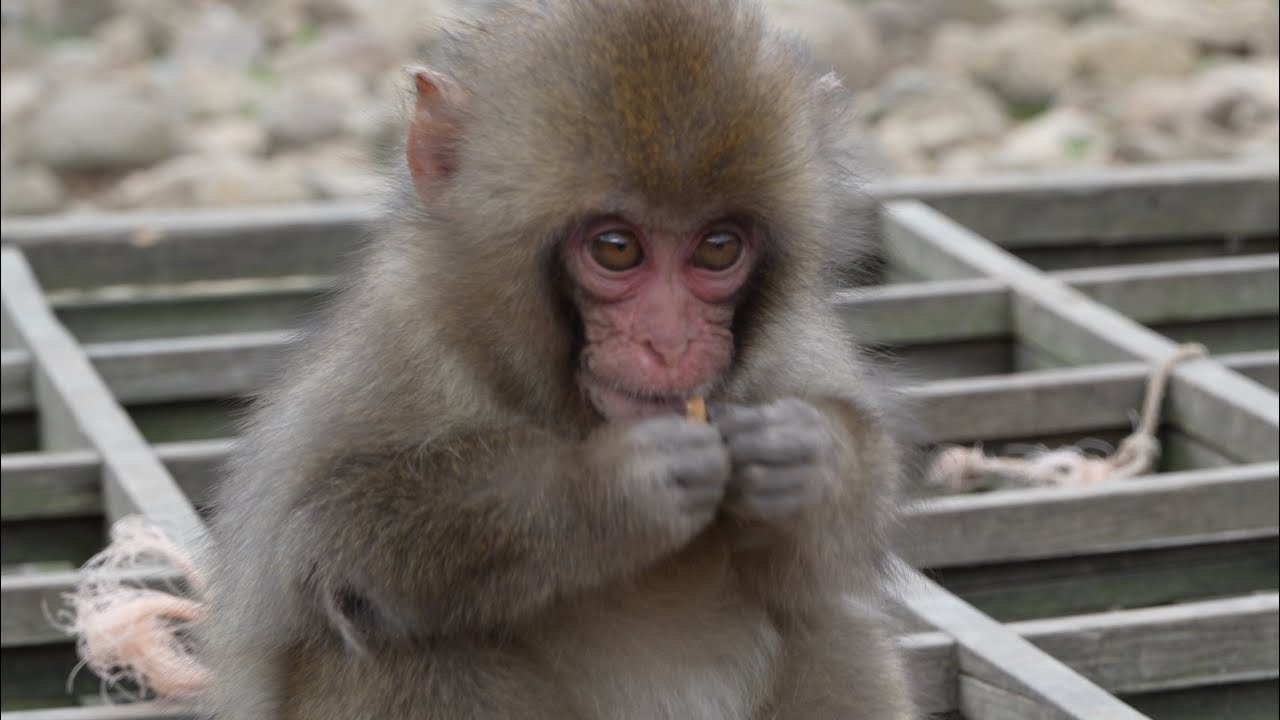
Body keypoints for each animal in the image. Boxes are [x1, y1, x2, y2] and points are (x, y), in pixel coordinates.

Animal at [200, 0, 914, 718]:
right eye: (617, 249)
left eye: (717, 248)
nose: (670, 343)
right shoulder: (396, 346)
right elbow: (318, 536)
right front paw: (604, 489)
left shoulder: (790, 345)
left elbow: (832, 551)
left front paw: (809, 456)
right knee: (407, 649)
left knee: (828, 625)